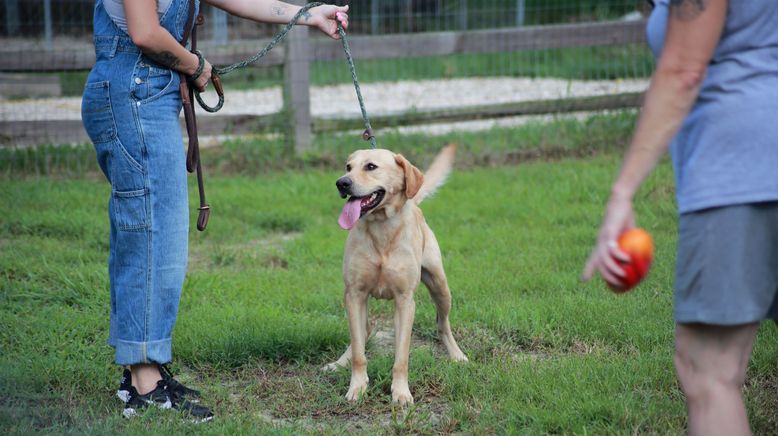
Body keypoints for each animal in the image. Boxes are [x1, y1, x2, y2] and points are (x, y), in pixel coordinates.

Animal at [322, 144, 464, 406]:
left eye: (371, 166)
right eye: (348, 167)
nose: (341, 183)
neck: (381, 229)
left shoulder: (405, 301)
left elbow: (401, 357)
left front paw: (401, 392)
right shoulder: (355, 294)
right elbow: (359, 352)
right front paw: (357, 386)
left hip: (440, 286)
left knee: (442, 324)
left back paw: (457, 355)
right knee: (363, 333)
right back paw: (340, 362)